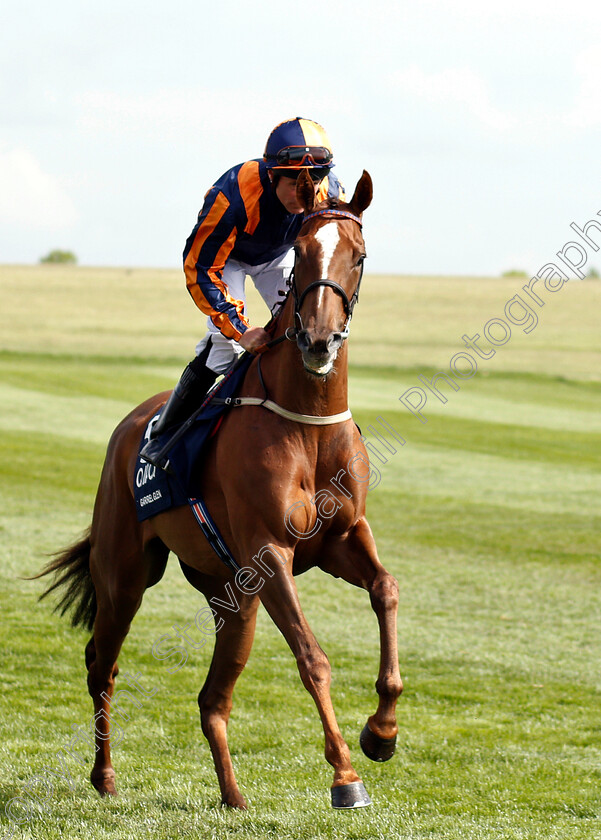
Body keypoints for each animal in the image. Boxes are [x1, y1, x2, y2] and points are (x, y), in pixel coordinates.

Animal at [37, 169, 404, 808]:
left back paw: (233, 796)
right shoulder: (269, 552)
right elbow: (312, 657)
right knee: (102, 666)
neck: (306, 421)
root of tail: (131, 423)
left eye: (358, 255)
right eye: (301, 253)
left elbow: (385, 590)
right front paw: (345, 776)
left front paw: (381, 733)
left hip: (233, 594)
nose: (318, 341)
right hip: (126, 574)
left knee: (212, 698)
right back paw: (104, 777)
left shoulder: (341, 539)